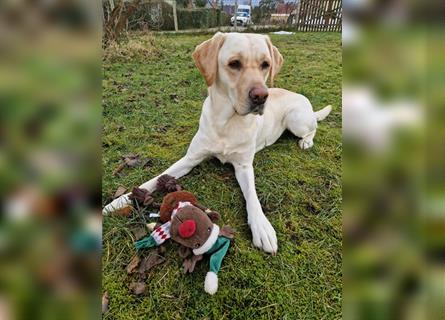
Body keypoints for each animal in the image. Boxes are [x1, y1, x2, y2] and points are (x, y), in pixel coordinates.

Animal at [104, 31, 330, 252]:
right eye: (234, 63)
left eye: (265, 64)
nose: (261, 96)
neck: (226, 122)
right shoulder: (190, 158)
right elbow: (157, 178)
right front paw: (121, 200)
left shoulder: (244, 167)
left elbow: (252, 197)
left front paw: (262, 226)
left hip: (296, 120)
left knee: (313, 128)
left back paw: (306, 142)